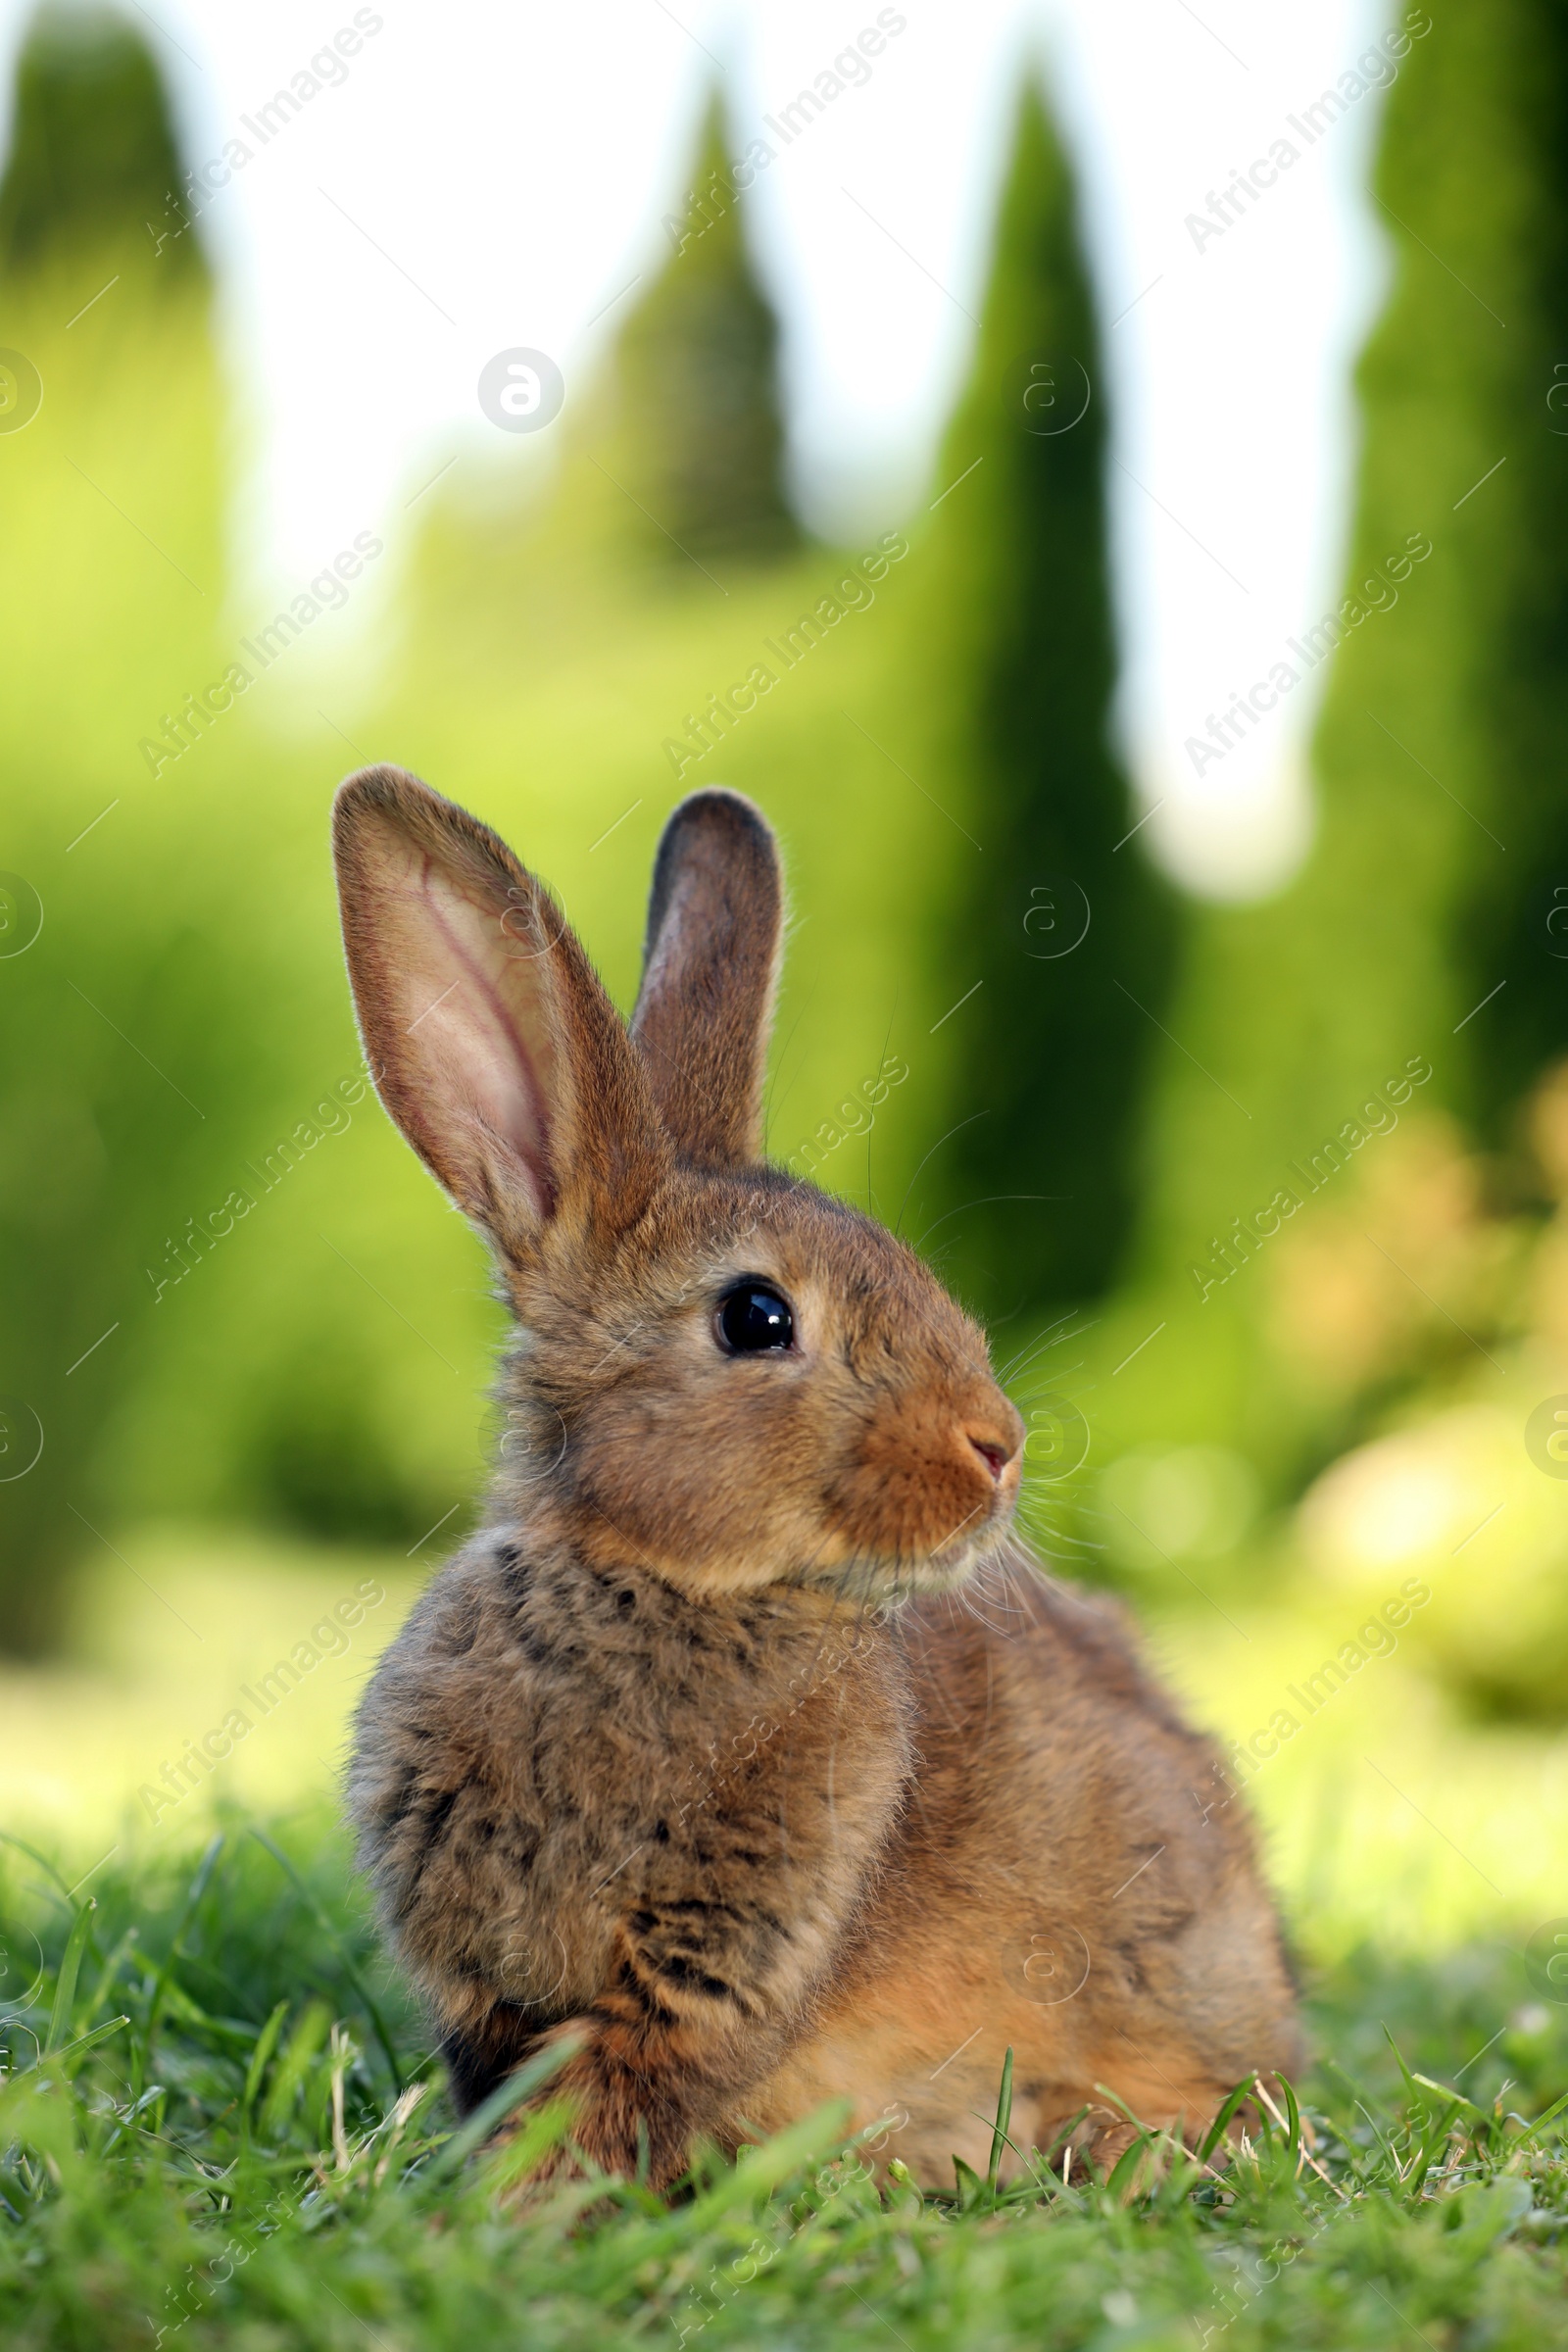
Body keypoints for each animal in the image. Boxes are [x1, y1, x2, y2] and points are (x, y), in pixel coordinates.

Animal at [333, 766, 1298, 2182]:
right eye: (756, 1317)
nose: (997, 1446)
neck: (660, 1582)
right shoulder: (492, 1987)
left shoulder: (722, 1959)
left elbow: (610, 2096)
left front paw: (518, 2205)